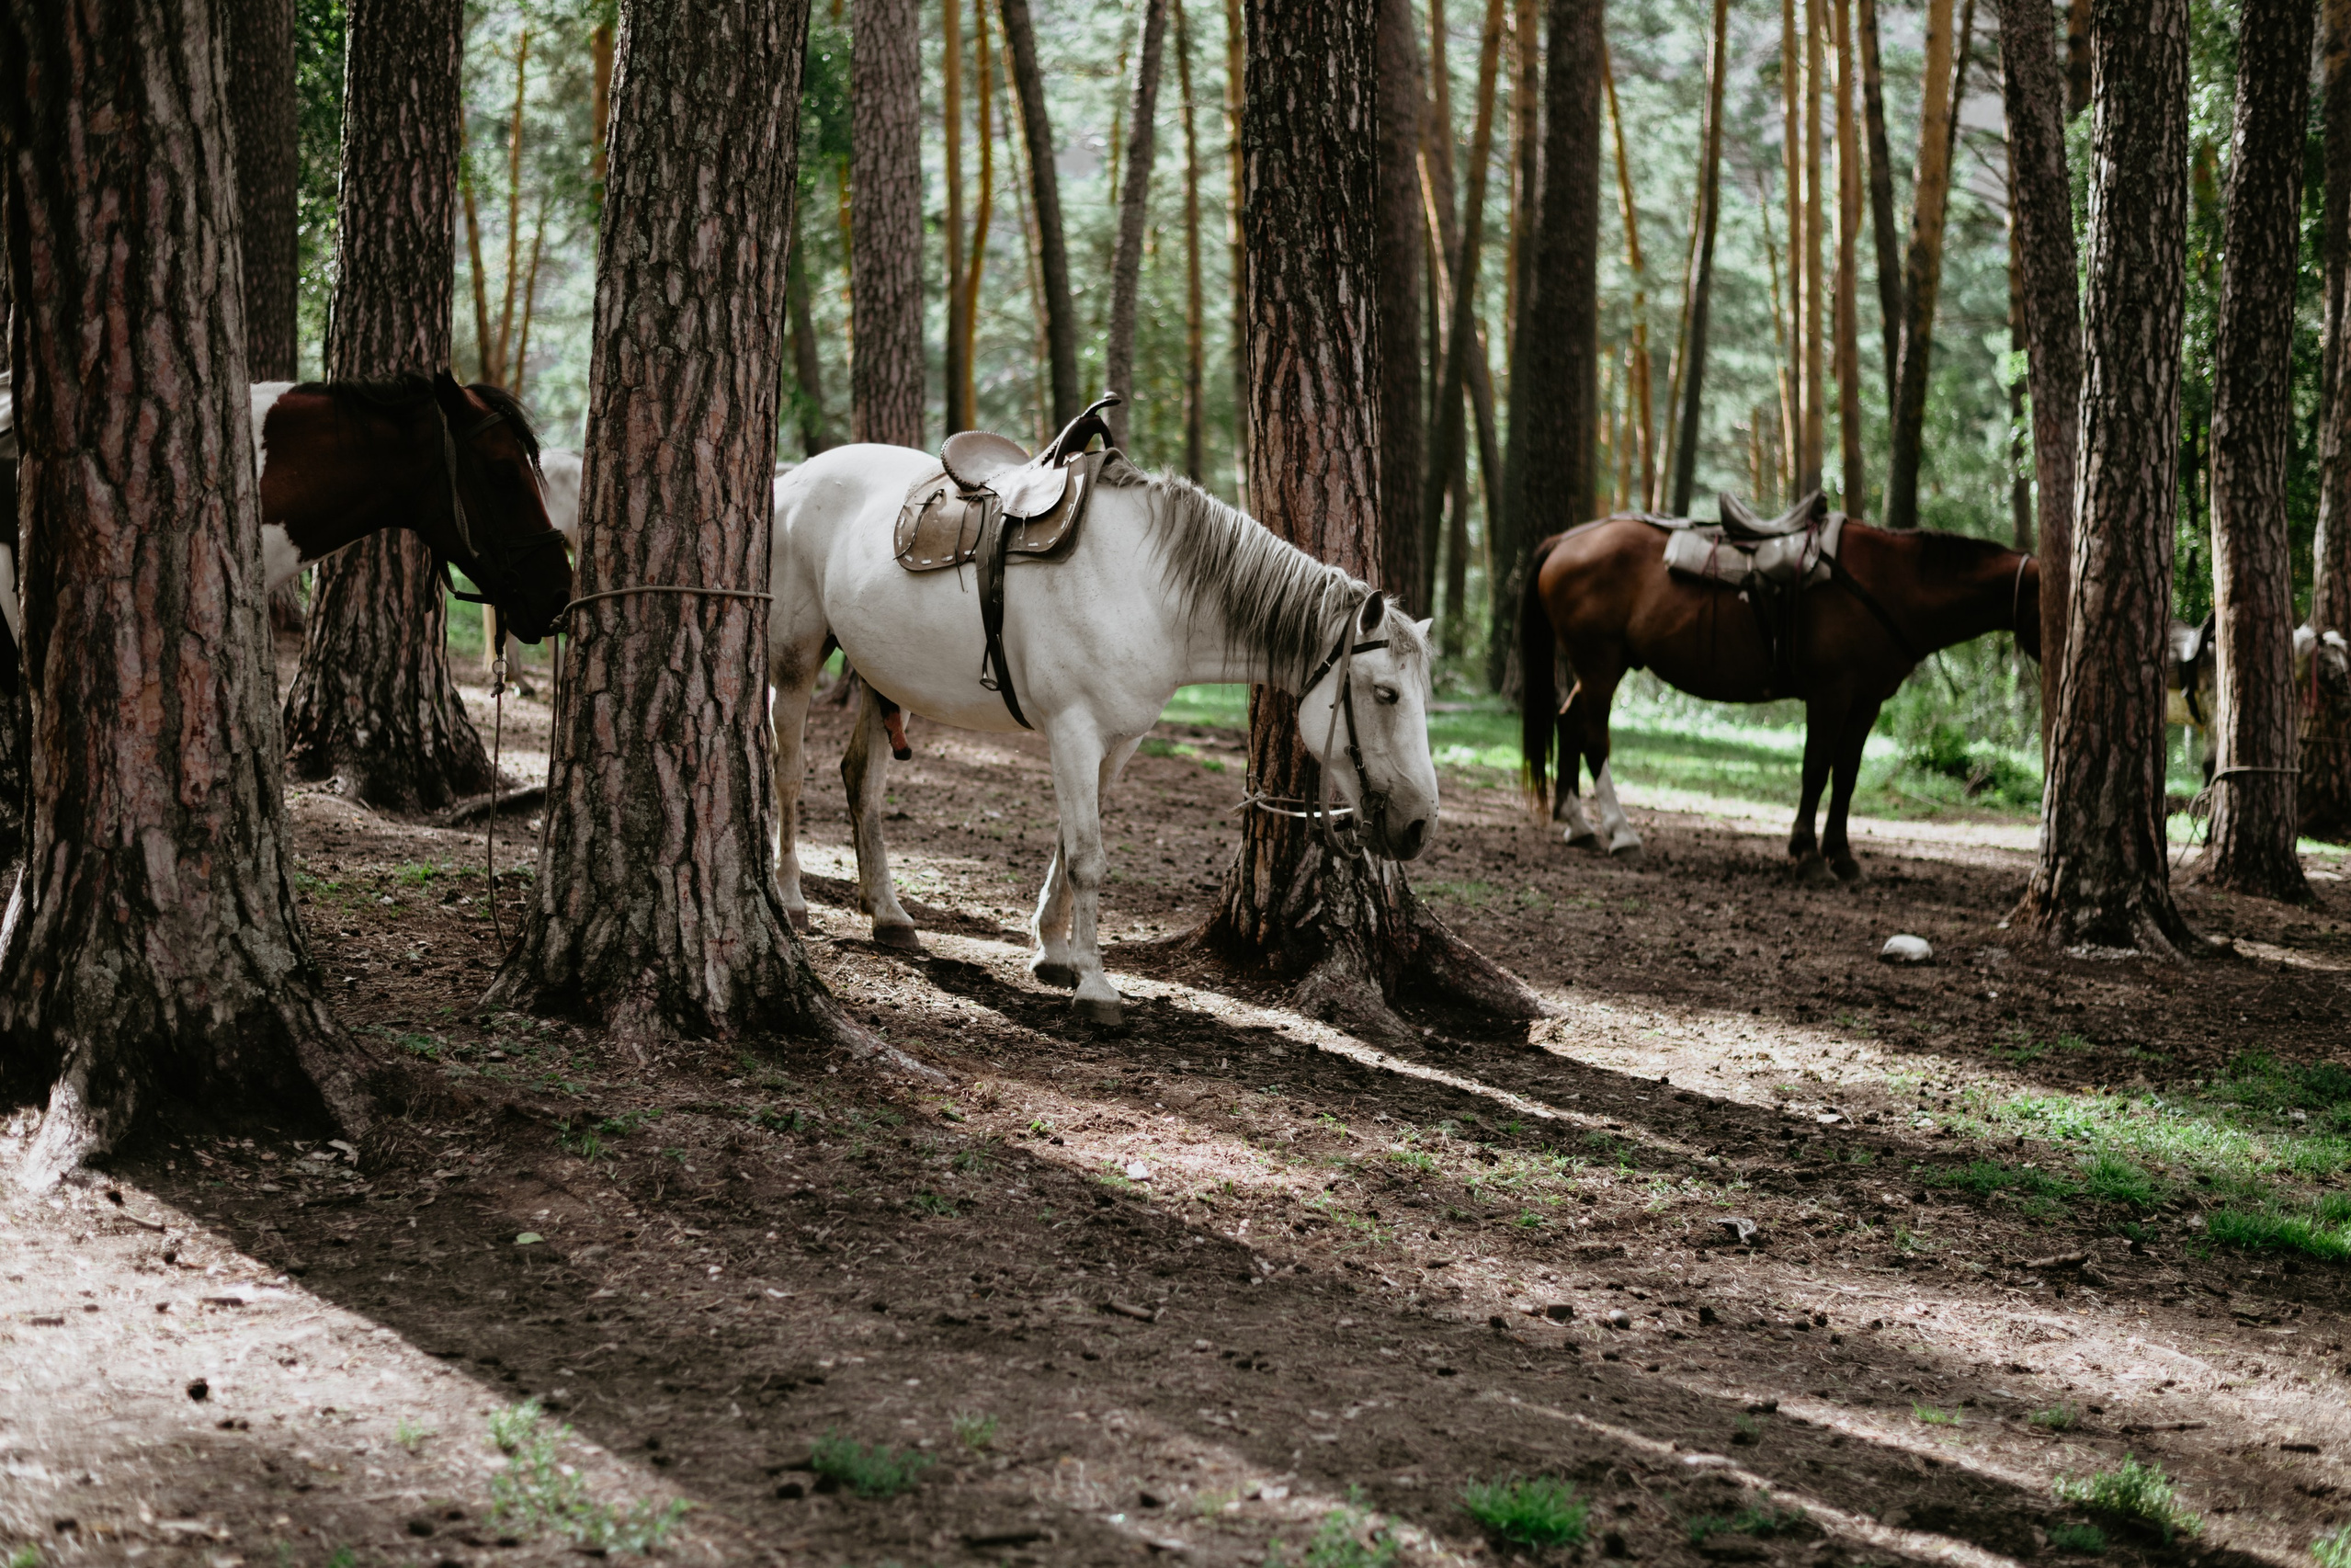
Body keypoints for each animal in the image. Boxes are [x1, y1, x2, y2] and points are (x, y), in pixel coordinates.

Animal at [766, 442, 1439, 1024]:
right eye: (1386, 693)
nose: (1418, 825)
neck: (1147, 590)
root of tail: (792, 477)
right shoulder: (1073, 731)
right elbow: (1088, 857)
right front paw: (1093, 985)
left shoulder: (1117, 742)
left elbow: (1070, 843)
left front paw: (1053, 952)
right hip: (796, 660)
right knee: (789, 773)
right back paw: (792, 898)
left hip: (881, 679)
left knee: (862, 781)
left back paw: (888, 915)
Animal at [1518, 501, 2039, 883]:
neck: (1889, 584)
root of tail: (1566, 540)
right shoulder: (1830, 694)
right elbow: (1815, 770)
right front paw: (1808, 855)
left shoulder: (1867, 701)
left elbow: (1846, 775)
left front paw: (1842, 856)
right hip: (1600, 663)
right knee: (1595, 739)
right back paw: (1620, 833)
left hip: (1601, 665)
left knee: (1569, 720)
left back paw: (1578, 823)